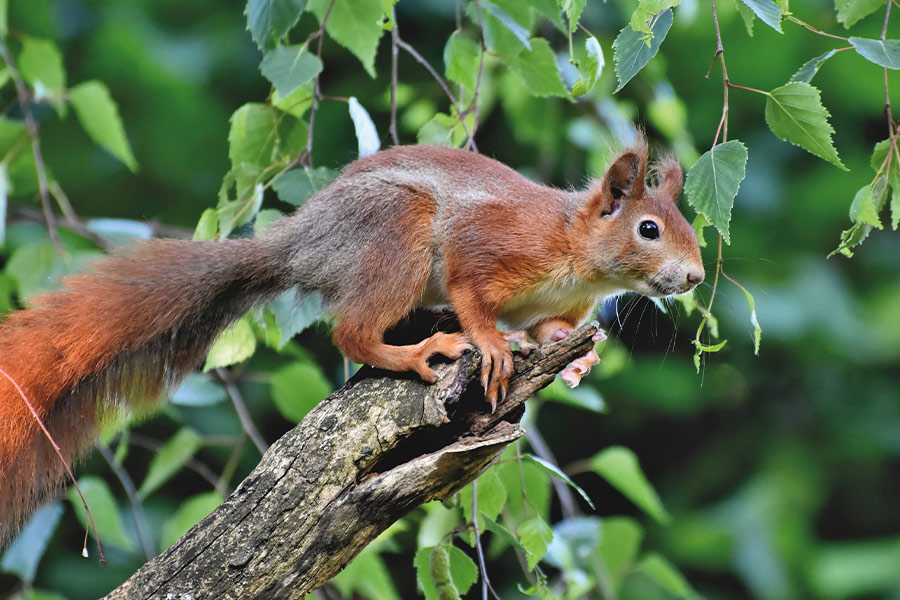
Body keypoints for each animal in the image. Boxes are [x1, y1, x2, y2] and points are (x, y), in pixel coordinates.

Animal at [0, 141, 703, 543]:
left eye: (687, 227)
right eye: (648, 228)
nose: (696, 277)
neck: (578, 254)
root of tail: (304, 244)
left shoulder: (555, 305)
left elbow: (551, 330)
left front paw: (578, 357)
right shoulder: (489, 245)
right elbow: (474, 295)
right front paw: (492, 344)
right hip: (397, 236)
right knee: (352, 332)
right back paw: (416, 352)